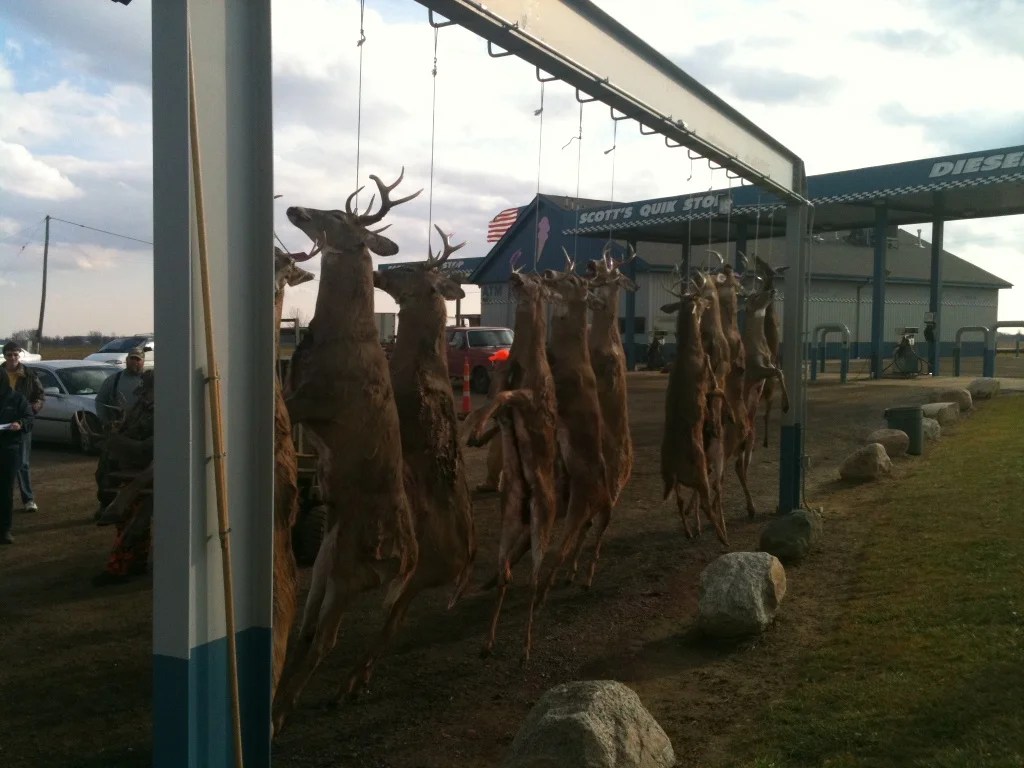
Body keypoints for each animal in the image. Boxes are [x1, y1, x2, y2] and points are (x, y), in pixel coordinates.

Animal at [272, 170, 421, 736]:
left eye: (338, 217)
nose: (294, 208)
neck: (342, 336)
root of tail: (406, 556)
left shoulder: (318, 402)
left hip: (351, 570)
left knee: (331, 638)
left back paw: (291, 711)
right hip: (329, 564)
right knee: (315, 631)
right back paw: (333, 692)